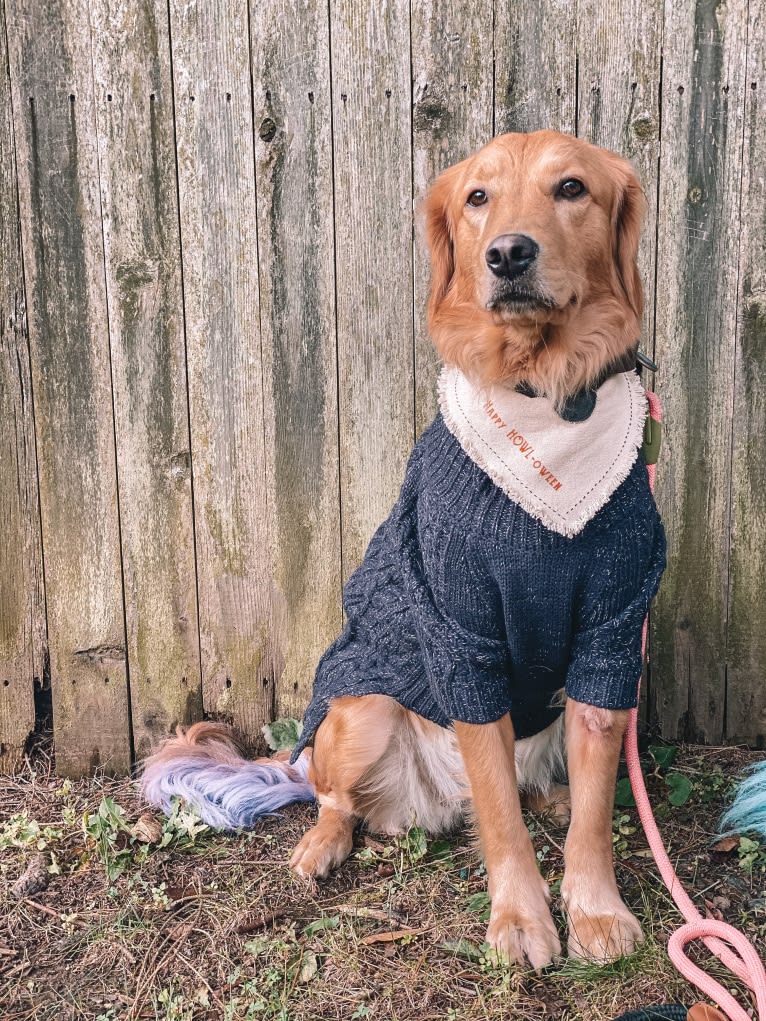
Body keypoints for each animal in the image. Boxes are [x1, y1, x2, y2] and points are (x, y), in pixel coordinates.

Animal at [142, 131, 665, 967]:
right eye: (478, 197)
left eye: (572, 188)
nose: (508, 254)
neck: (545, 395)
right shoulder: (462, 636)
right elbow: (500, 818)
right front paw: (521, 917)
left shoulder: (611, 634)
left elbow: (592, 810)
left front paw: (594, 906)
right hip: (362, 708)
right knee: (332, 795)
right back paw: (322, 843)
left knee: (527, 788)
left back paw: (547, 797)